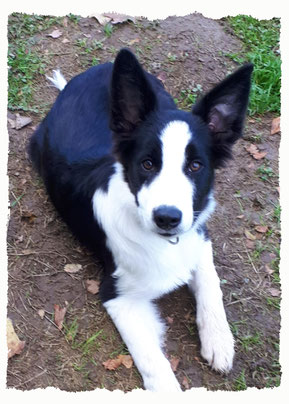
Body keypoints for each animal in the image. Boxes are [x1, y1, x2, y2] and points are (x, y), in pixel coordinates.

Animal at [28, 49, 251, 392]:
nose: (167, 218)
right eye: (147, 164)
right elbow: (156, 367)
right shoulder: (118, 295)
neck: (164, 243)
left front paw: (219, 341)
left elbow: (210, 282)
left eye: (196, 166)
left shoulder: (198, 235)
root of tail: (96, 69)